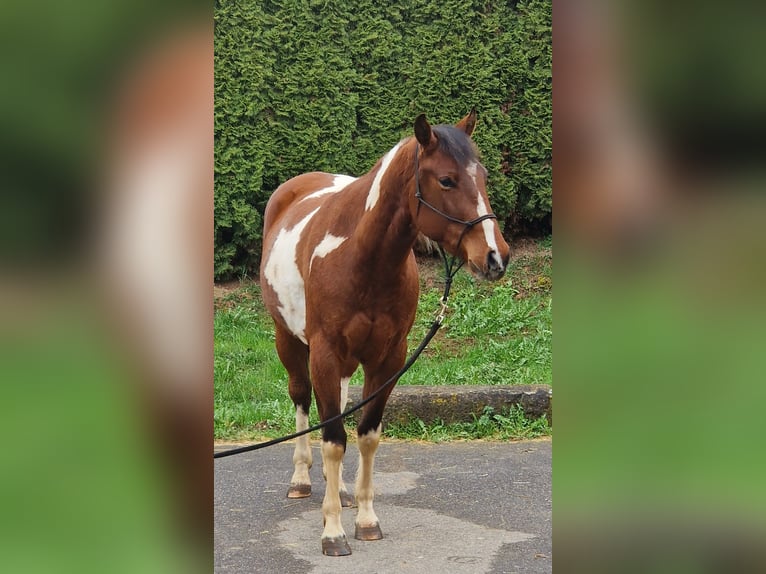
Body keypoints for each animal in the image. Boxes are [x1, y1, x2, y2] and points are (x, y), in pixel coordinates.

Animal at [259, 111, 511, 556]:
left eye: (482, 177)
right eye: (446, 180)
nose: (496, 257)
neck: (360, 256)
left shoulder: (389, 358)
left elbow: (366, 435)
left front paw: (365, 519)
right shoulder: (324, 353)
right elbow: (333, 438)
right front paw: (333, 531)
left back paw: (339, 489)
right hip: (288, 341)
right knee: (302, 399)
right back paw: (303, 479)